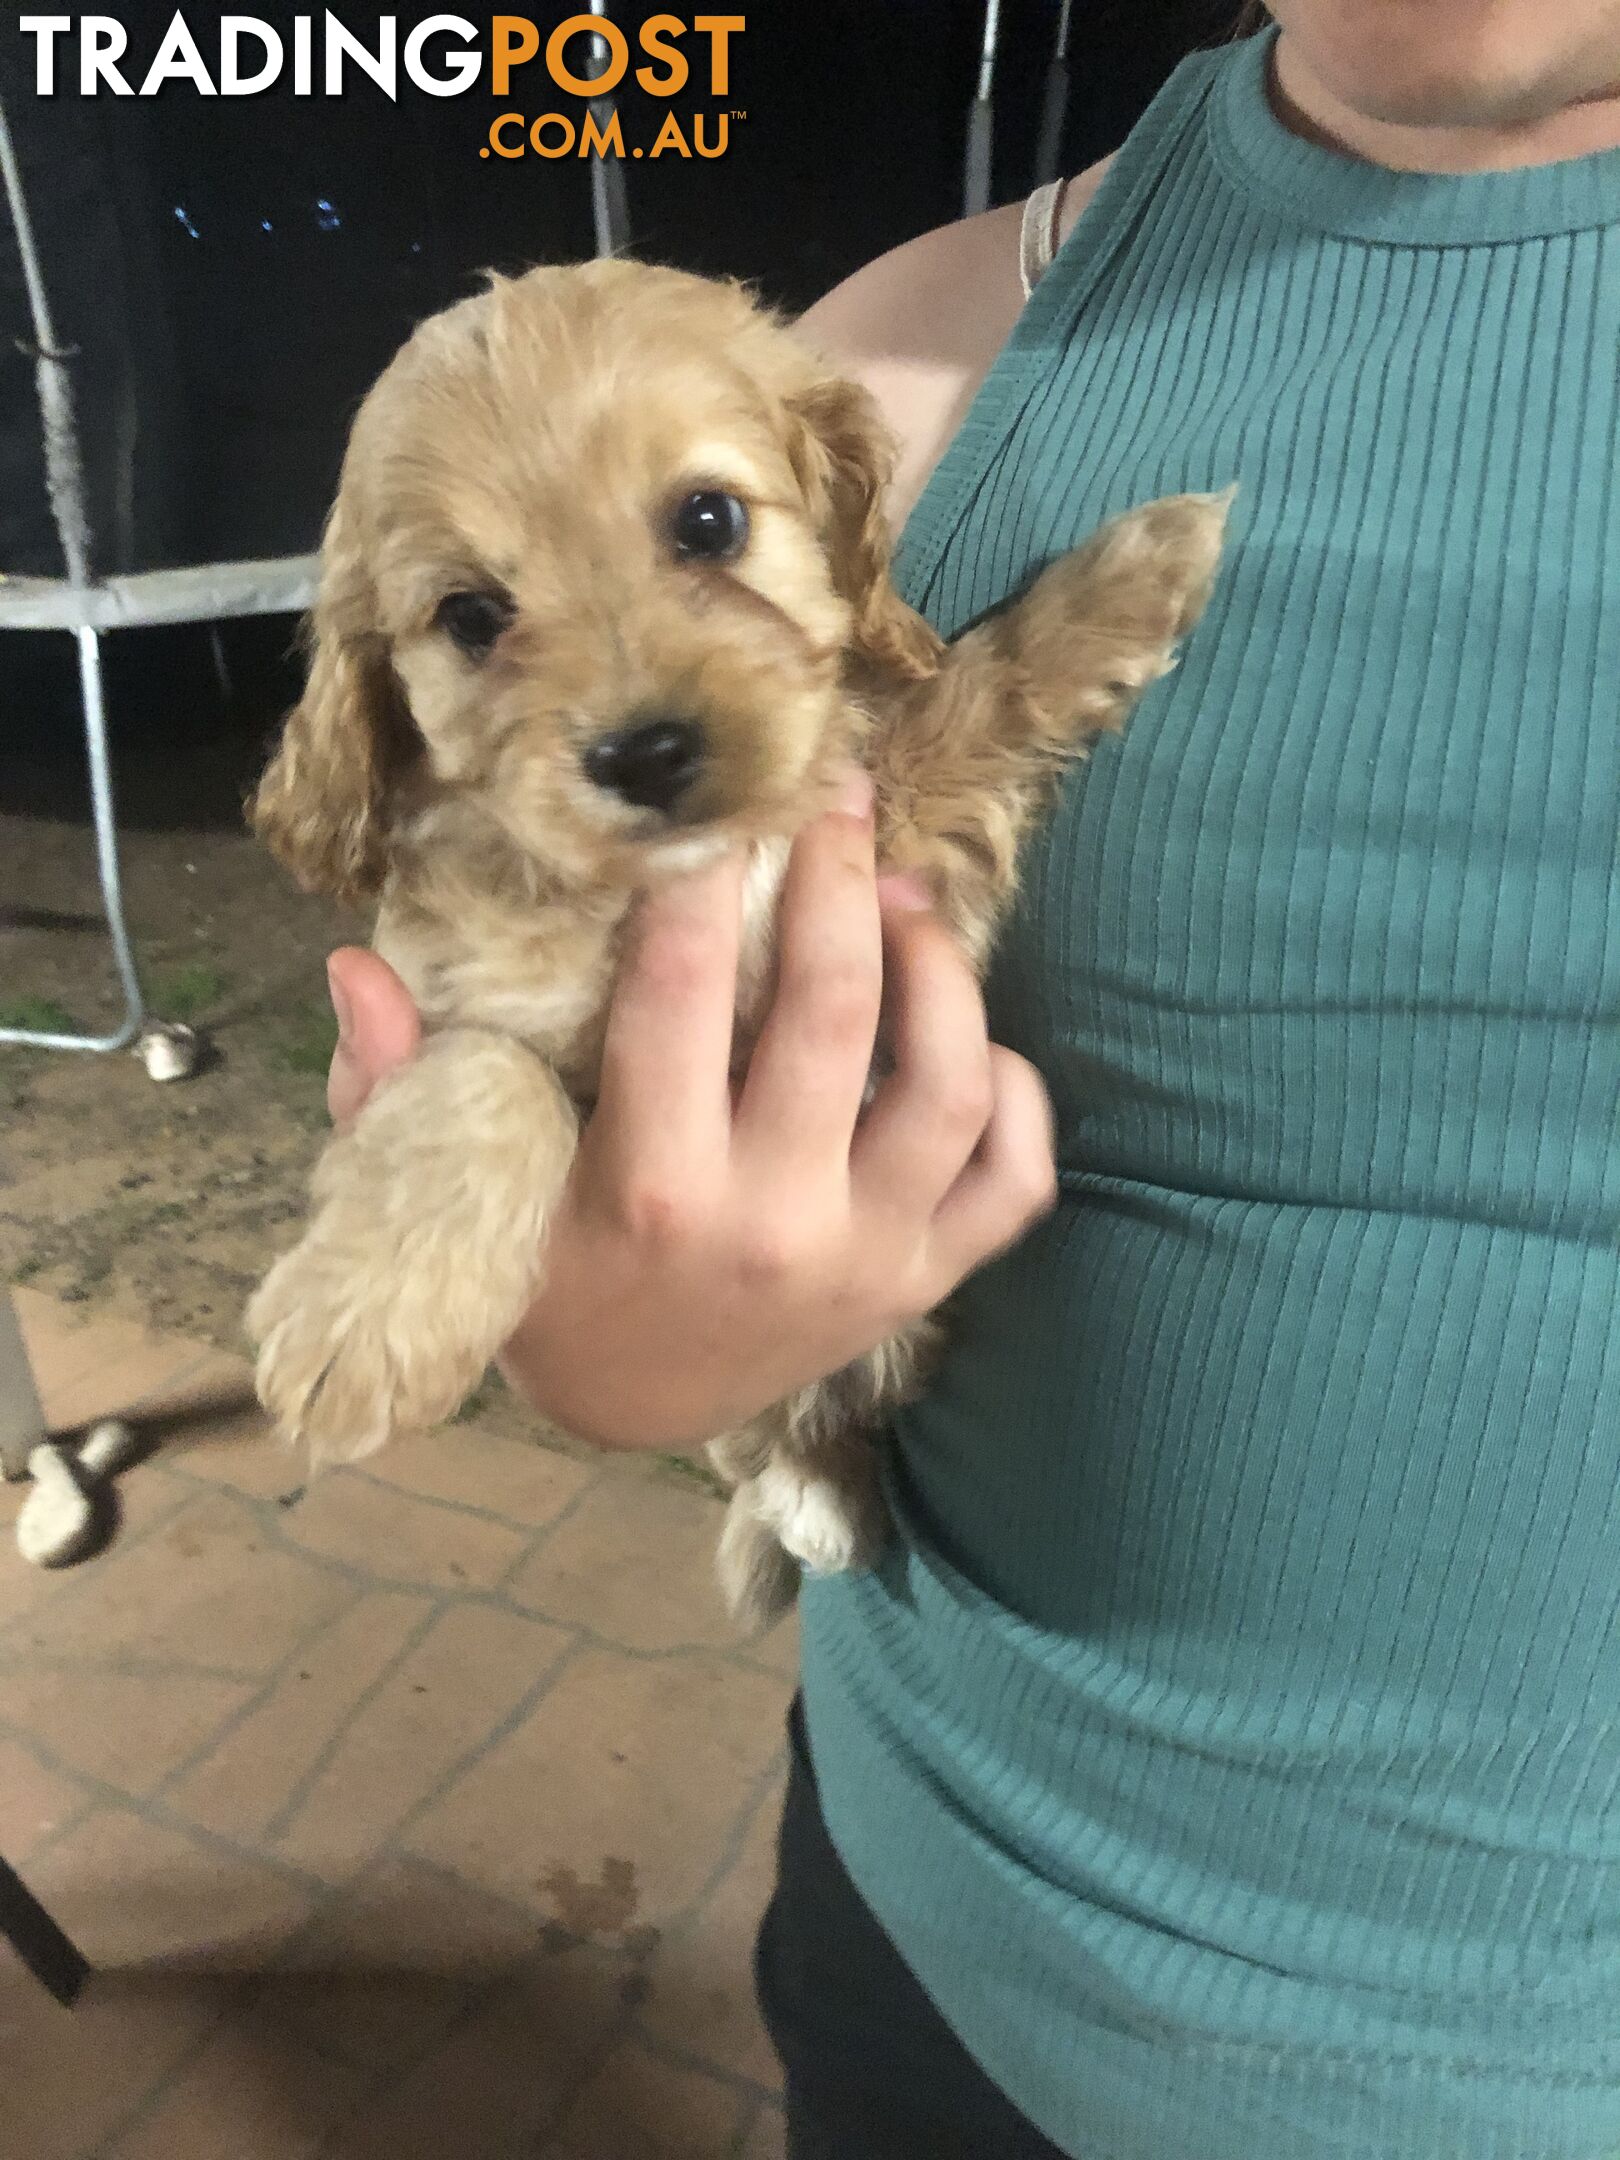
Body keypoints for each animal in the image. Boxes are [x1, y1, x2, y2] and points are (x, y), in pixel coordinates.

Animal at [247, 257, 1226, 1624]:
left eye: (708, 522)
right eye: (472, 615)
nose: (646, 753)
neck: (691, 875)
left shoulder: (897, 826)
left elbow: (975, 688)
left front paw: (1139, 567)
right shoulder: (447, 1004)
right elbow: (485, 1079)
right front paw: (362, 1322)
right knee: (759, 1423)